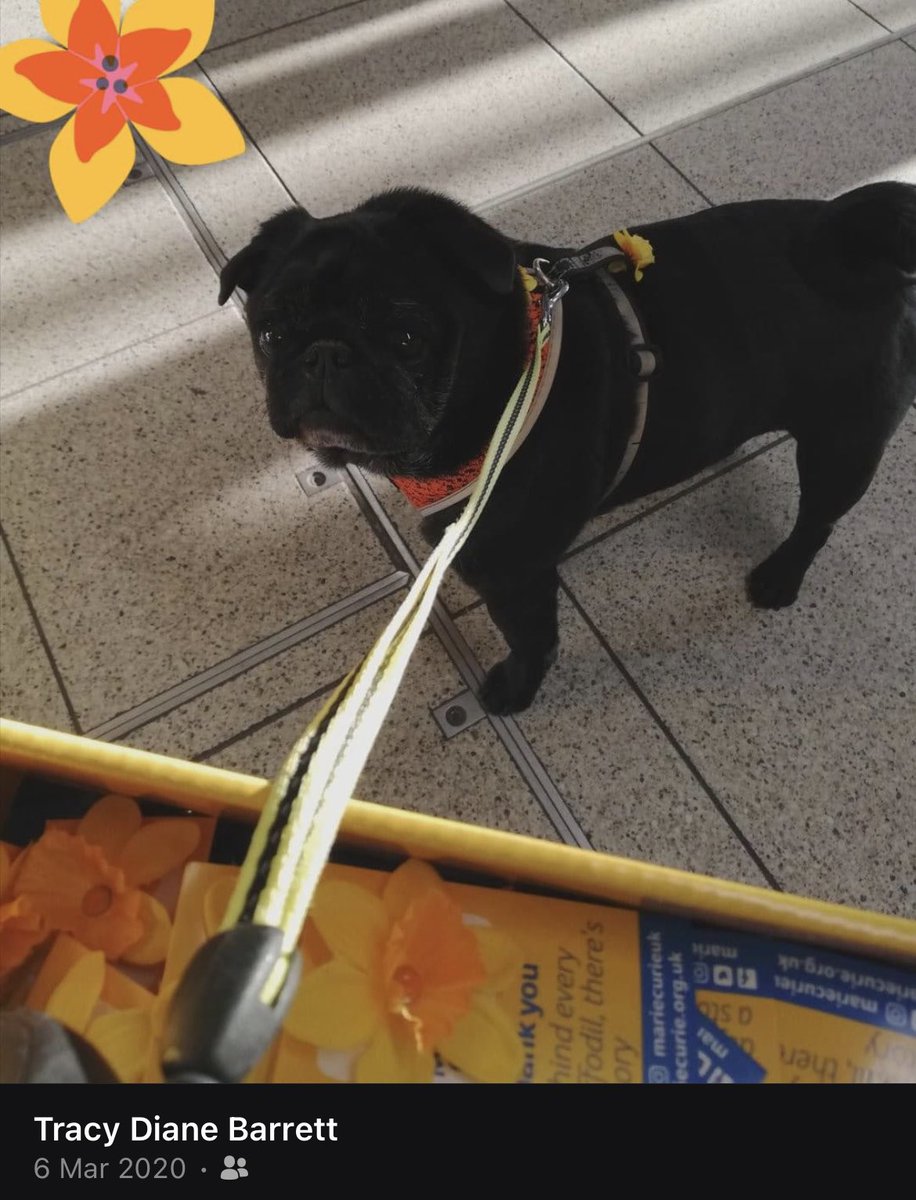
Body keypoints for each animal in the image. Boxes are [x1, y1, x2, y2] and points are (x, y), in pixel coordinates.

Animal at [217, 182, 916, 715]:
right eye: (269, 334)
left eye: (409, 337)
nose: (323, 356)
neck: (506, 376)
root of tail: (847, 237)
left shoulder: (510, 571)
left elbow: (533, 640)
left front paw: (514, 690)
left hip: (842, 446)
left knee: (818, 519)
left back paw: (780, 575)